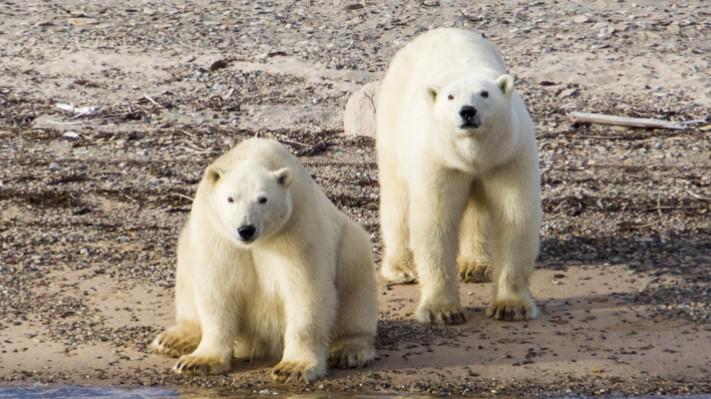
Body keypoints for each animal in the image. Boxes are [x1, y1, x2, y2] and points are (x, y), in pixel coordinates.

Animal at [150, 138, 378, 384]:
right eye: (230, 198)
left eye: (263, 199)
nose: (246, 229)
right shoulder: (215, 233)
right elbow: (217, 288)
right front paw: (198, 361)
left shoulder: (297, 228)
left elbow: (305, 291)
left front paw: (294, 368)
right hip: (188, 243)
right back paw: (175, 339)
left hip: (350, 245)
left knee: (355, 284)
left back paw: (349, 350)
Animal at [382, 28, 544, 328]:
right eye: (450, 97)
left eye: (485, 93)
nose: (468, 111)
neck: (472, 156)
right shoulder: (439, 162)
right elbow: (435, 221)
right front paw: (441, 310)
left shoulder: (509, 157)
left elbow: (515, 217)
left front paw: (510, 306)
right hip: (393, 121)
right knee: (397, 196)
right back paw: (402, 267)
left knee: (478, 209)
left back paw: (476, 265)